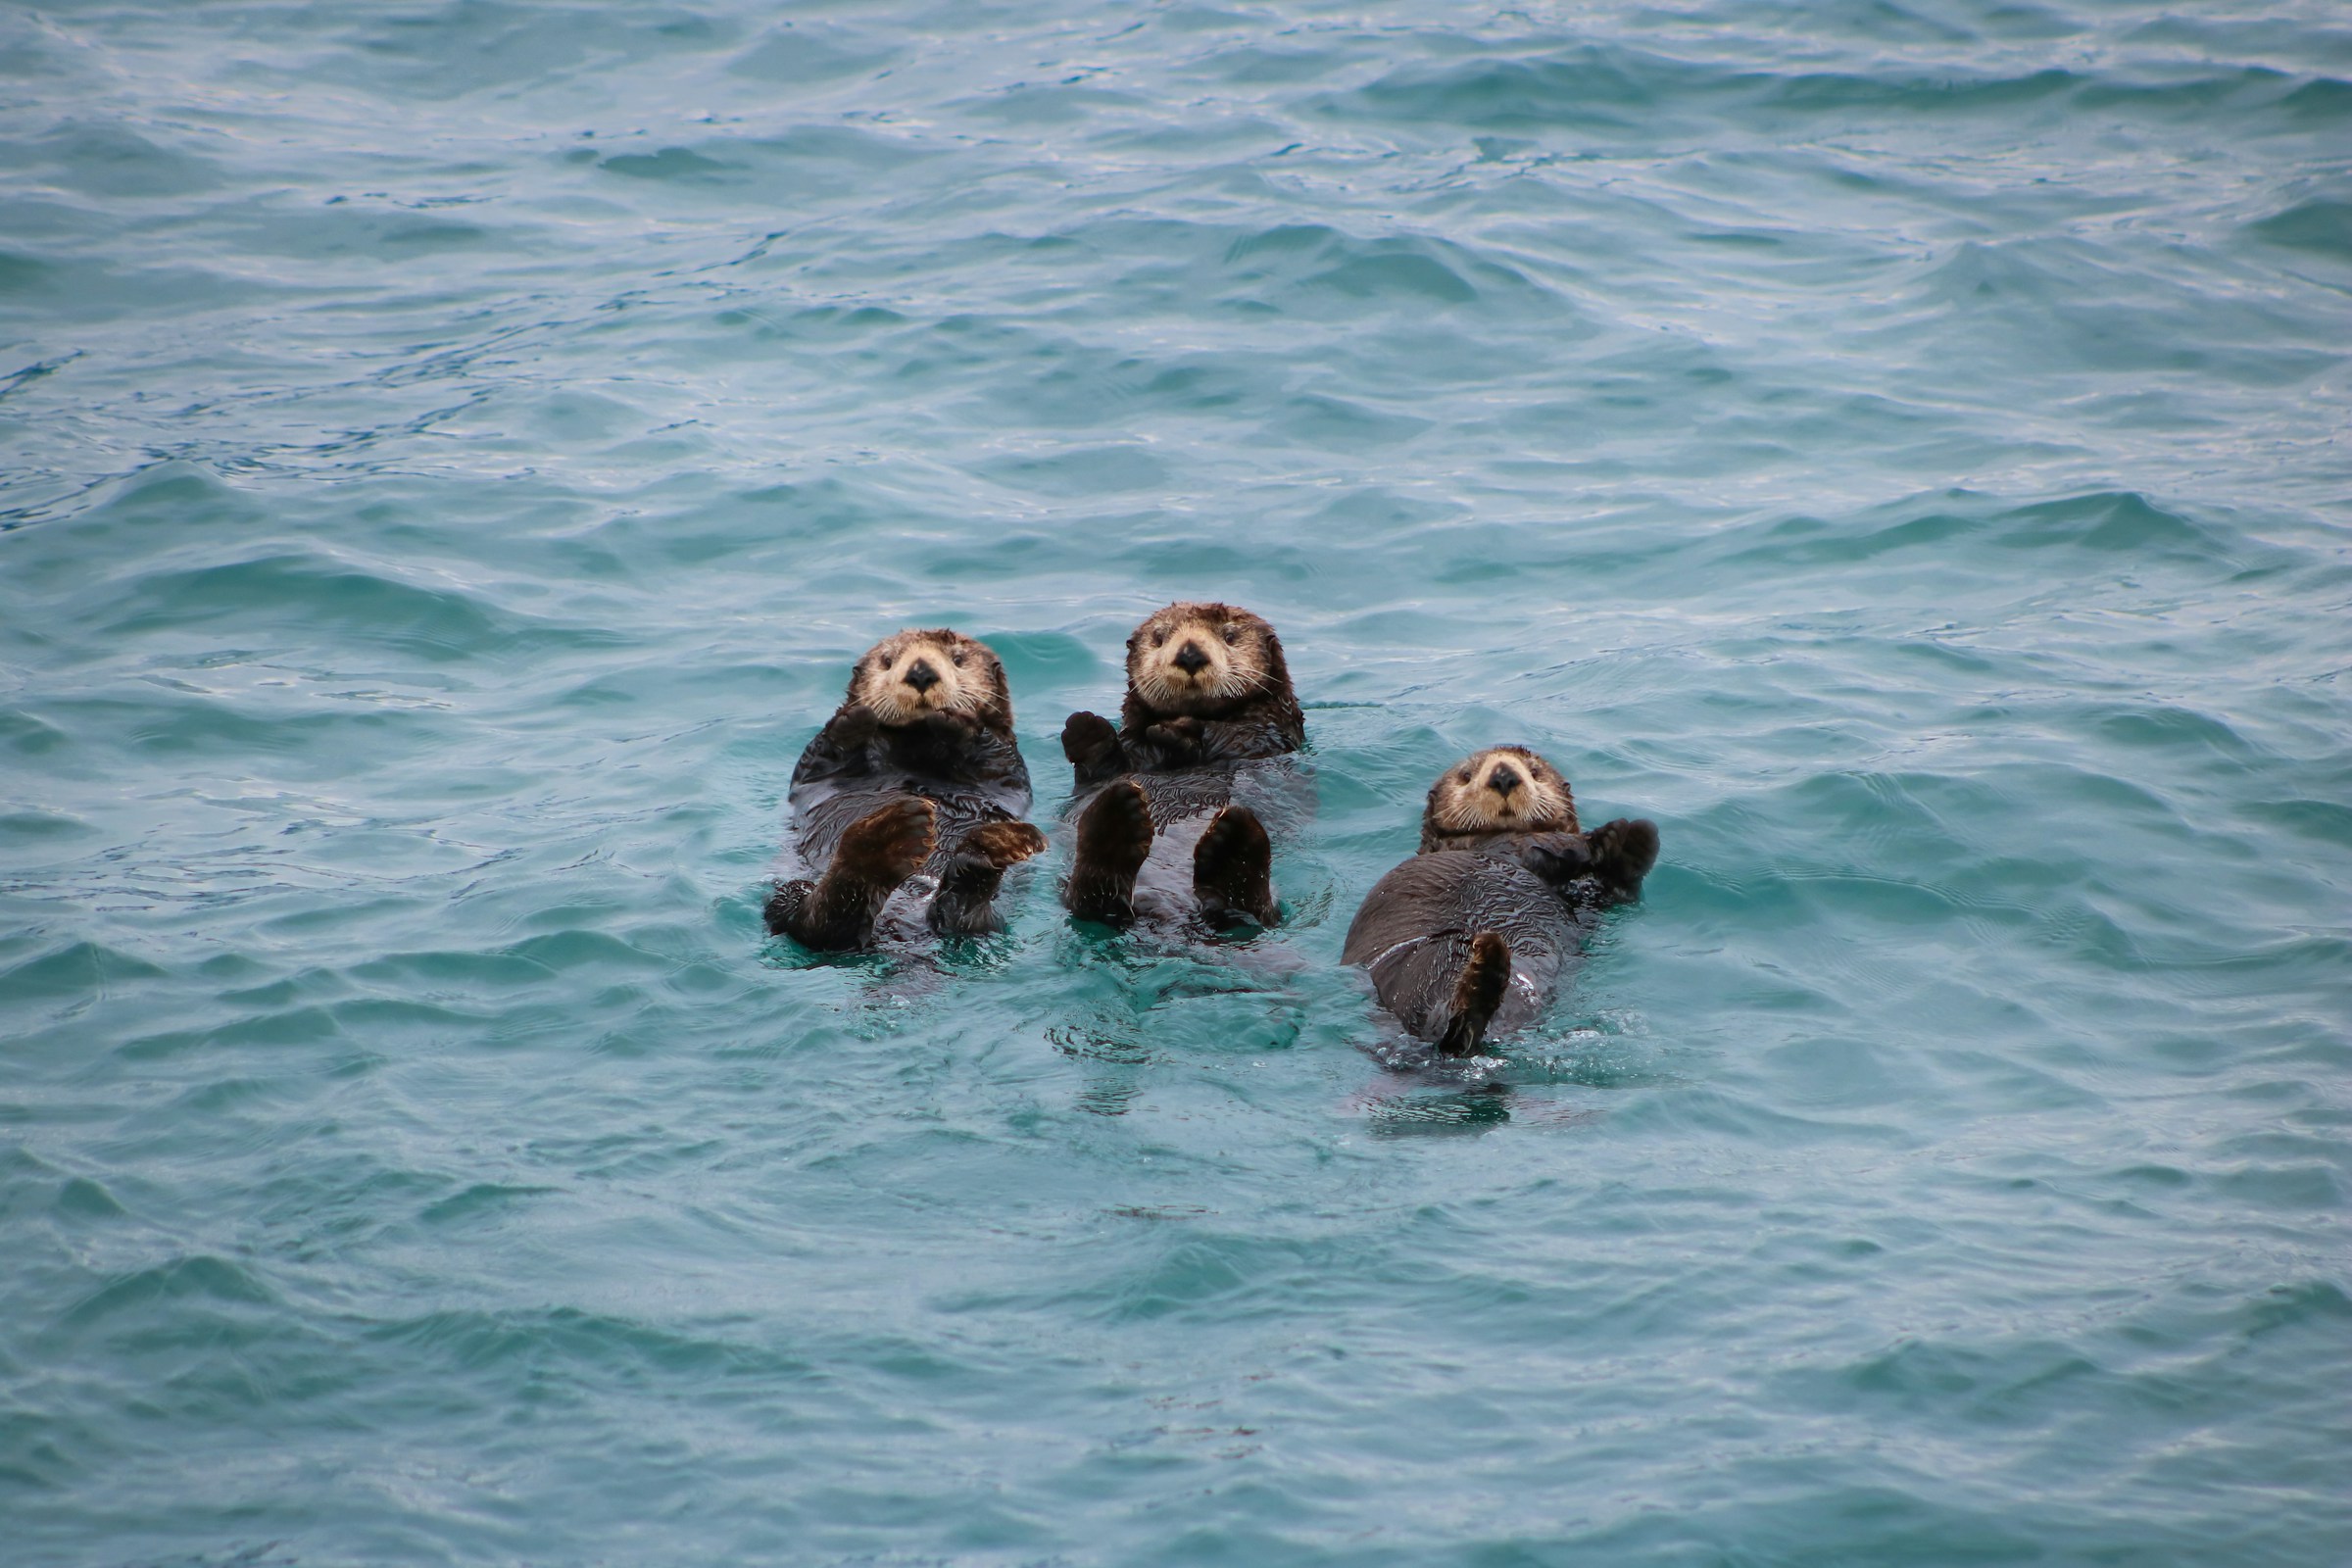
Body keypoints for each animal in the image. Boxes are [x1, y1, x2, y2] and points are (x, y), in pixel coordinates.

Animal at [763, 628, 1047, 950]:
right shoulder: (815, 768)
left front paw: (955, 721)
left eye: (958, 659)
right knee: (814, 924)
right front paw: (855, 717)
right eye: (887, 661)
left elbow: (994, 754)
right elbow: (822, 756)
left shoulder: (1007, 765)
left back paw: (987, 849)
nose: (920, 672)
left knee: (962, 919)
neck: (916, 746)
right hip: (789, 891)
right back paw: (887, 839)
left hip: (992, 920)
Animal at [1059, 601, 1307, 929]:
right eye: (1159, 637)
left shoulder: (1265, 736)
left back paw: (1233, 842)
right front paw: (1085, 729)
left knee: (1255, 913)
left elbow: (1233, 736)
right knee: (1090, 900)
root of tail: (1167, 910)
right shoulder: (1126, 758)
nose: (1190, 654)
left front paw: (1175, 731)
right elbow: (1103, 767)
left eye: (1230, 636)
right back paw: (1117, 818)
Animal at [1342, 746, 1658, 1056]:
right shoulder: (1507, 845)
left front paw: (1631, 842)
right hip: (1421, 967)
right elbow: (1546, 845)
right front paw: (1606, 838)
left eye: (1535, 771)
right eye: (1466, 775)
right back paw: (1484, 973)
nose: (1503, 776)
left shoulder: (1587, 901)